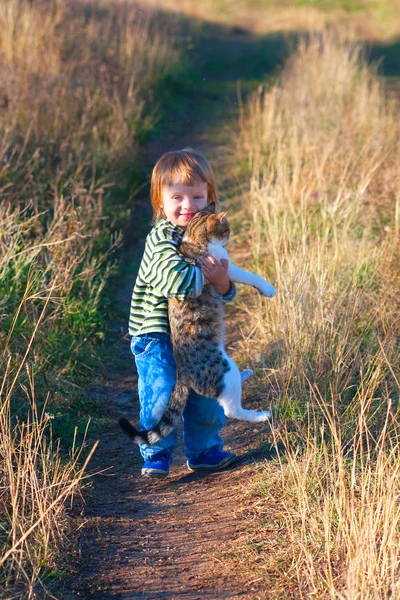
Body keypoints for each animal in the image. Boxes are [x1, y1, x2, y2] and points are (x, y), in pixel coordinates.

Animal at [119, 204, 276, 442]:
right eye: (226, 229)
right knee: (231, 409)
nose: (229, 235)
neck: (192, 237)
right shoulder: (224, 266)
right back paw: (261, 415)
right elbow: (249, 275)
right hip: (225, 370)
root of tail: (182, 375)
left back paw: (246, 375)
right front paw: (267, 288)